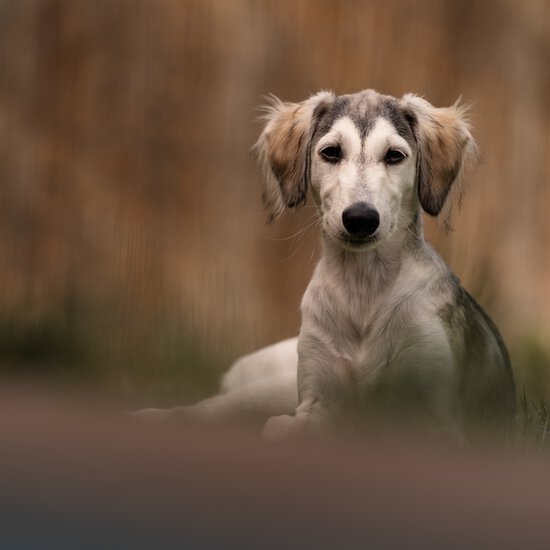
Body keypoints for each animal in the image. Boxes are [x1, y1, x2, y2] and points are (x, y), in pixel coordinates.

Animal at [138, 88, 516, 442]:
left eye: (394, 156)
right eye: (331, 152)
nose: (361, 219)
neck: (363, 287)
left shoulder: (437, 416)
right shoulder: (314, 400)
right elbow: (282, 428)